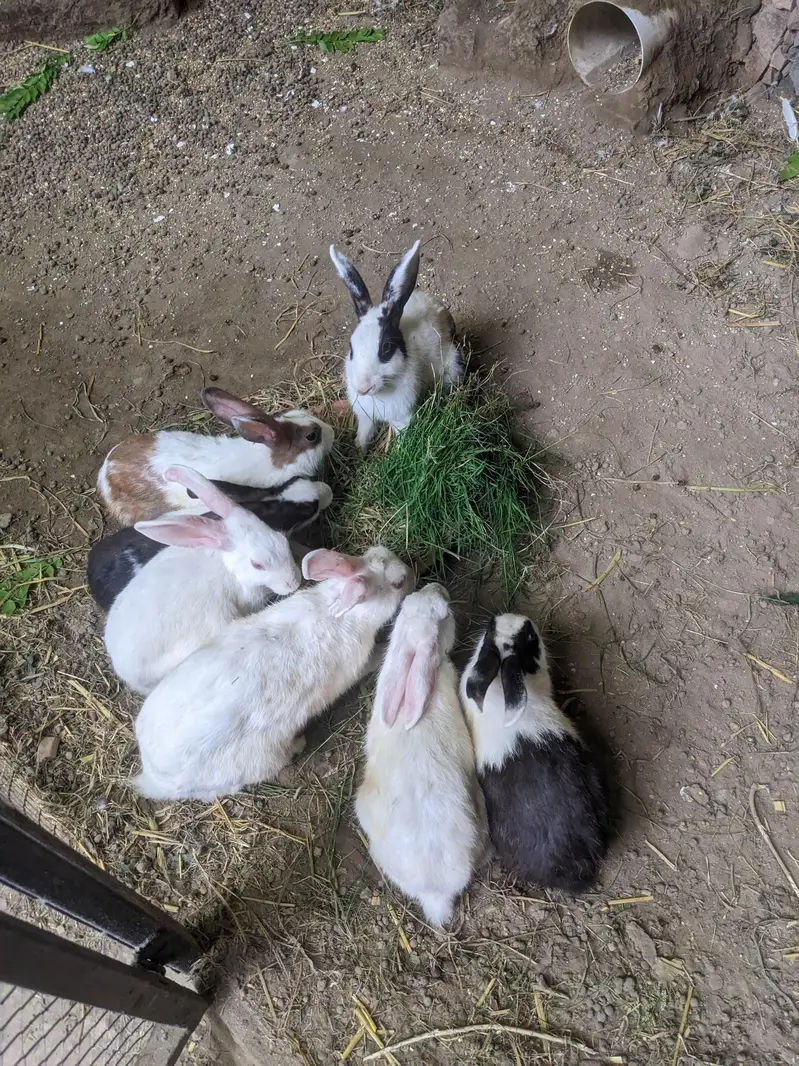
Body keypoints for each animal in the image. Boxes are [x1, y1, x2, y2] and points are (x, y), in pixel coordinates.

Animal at [133, 546, 414, 801]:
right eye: (398, 583)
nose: (411, 574)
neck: (338, 610)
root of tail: (153, 774)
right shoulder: (359, 663)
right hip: (260, 759)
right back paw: (298, 743)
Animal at [329, 240, 463, 450]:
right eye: (351, 348)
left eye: (386, 348)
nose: (362, 389)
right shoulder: (365, 417)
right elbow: (363, 435)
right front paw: (359, 449)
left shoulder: (402, 419)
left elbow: (401, 439)